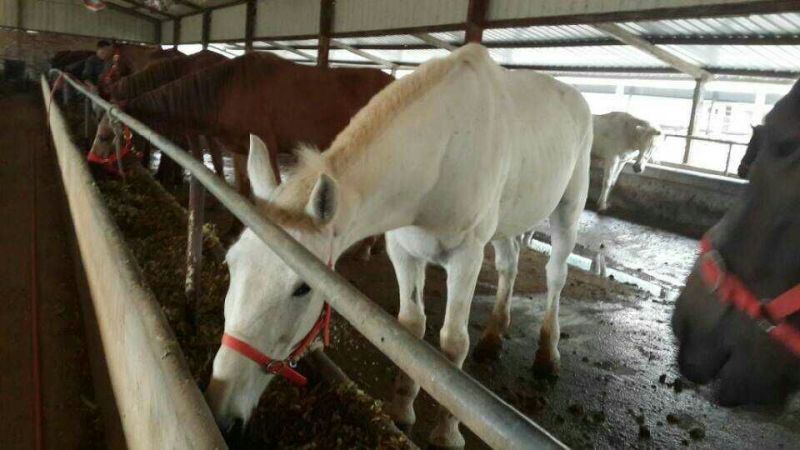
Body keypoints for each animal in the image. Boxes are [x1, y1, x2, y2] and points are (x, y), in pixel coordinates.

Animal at [205, 44, 592, 448]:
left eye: (303, 288)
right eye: (231, 265)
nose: (220, 410)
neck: (441, 152)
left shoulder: (466, 258)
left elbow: (453, 343)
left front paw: (447, 433)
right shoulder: (404, 252)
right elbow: (411, 331)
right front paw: (402, 410)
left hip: (568, 209)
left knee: (556, 274)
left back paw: (547, 355)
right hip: (508, 221)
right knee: (509, 264)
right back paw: (493, 338)